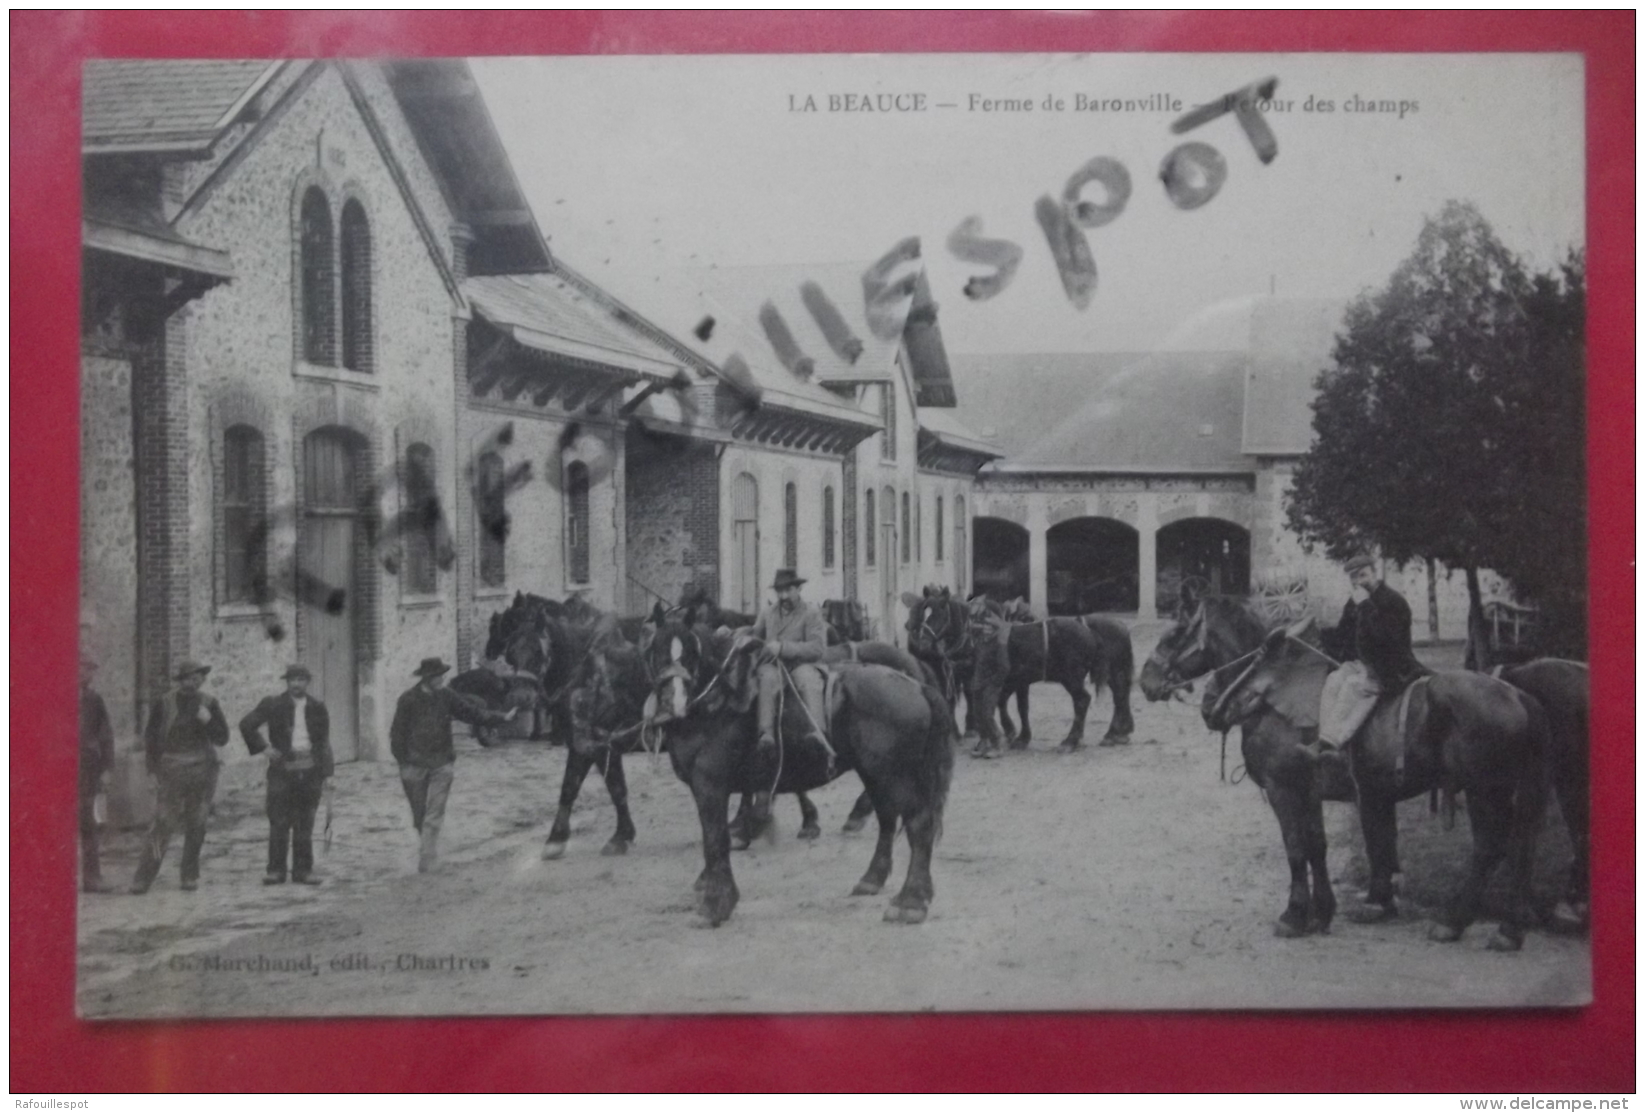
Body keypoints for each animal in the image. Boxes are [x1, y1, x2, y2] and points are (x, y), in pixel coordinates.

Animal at [638, 621, 954, 927]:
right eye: (657, 652)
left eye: (693, 654)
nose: (671, 702)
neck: (719, 701)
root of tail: (916, 686)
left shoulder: (709, 785)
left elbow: (715, 840)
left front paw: (716, 905)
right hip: (876, 774)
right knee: (887, 818)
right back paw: (873, 879)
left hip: (895, 775)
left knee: (918, 825)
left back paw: (910, 902)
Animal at [1204, 621, 1546, 953]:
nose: (1208, 700)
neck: (1272, 697)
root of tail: (1519, 697)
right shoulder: (1309, 792)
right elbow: (1317, 846)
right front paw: (1321, 912)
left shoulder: (1283, 789)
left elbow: (1297, 850)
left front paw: (1294, 914)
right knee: (1522, 847)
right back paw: (1510, 929)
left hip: (1483, 790)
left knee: (1491, 847)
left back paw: (1453, 921)